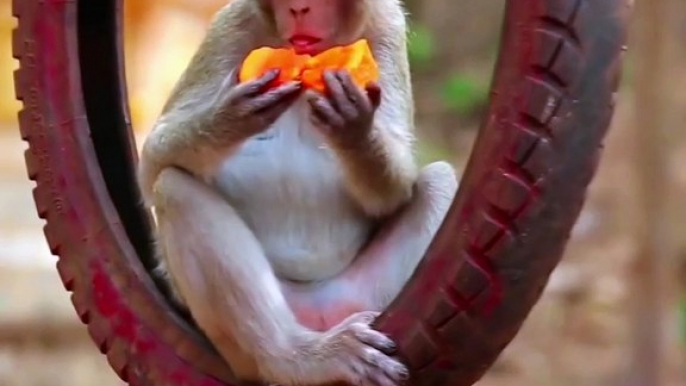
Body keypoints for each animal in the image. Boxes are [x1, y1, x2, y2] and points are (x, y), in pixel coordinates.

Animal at [137, 0, 460, 386]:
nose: (298, 8)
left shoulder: (387, 30)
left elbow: (394, 193)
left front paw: (354, 129)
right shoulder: (230, 27)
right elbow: (153, 162)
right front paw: (227, 119)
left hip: (361, 294)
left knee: (440, 182)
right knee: (175, 190)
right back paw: (297, 357)